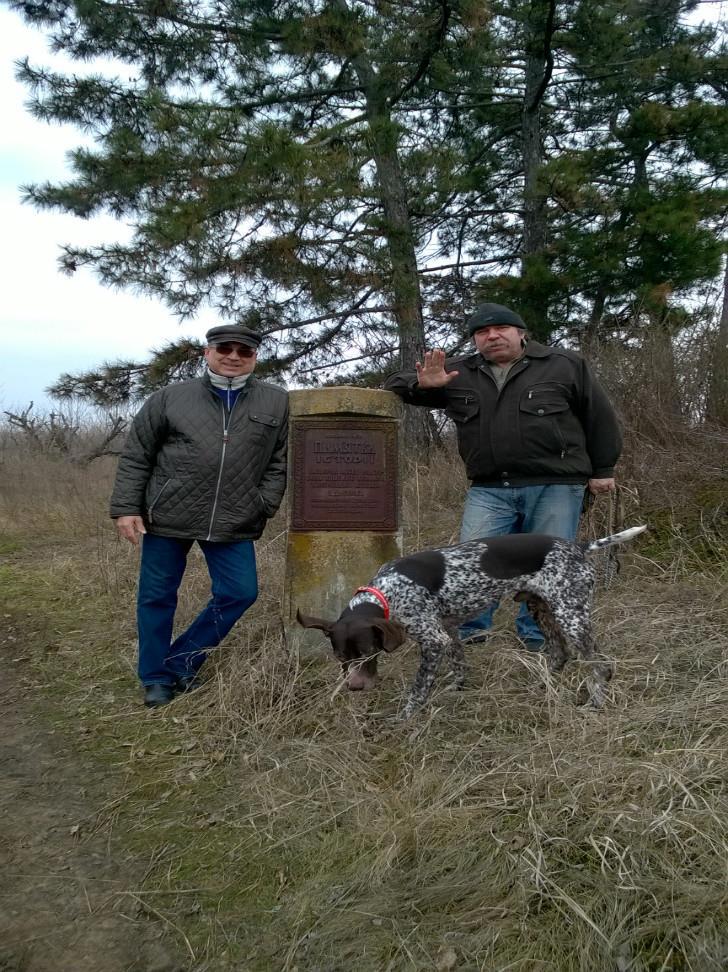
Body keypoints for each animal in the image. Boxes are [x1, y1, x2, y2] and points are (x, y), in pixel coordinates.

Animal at [297, 526, 646, 718]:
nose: (355, 688)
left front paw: (404, 719)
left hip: (570, 614)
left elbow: (418, 688)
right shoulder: (448, 628)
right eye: (340, 657)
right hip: (542, 609)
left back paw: (594, 704)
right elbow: (459, 662)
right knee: (560, 654)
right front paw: (457, 688)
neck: (385, 592)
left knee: (600, 665)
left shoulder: (432, 639)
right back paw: (540, 687)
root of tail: (578, 546)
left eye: (369, 653)